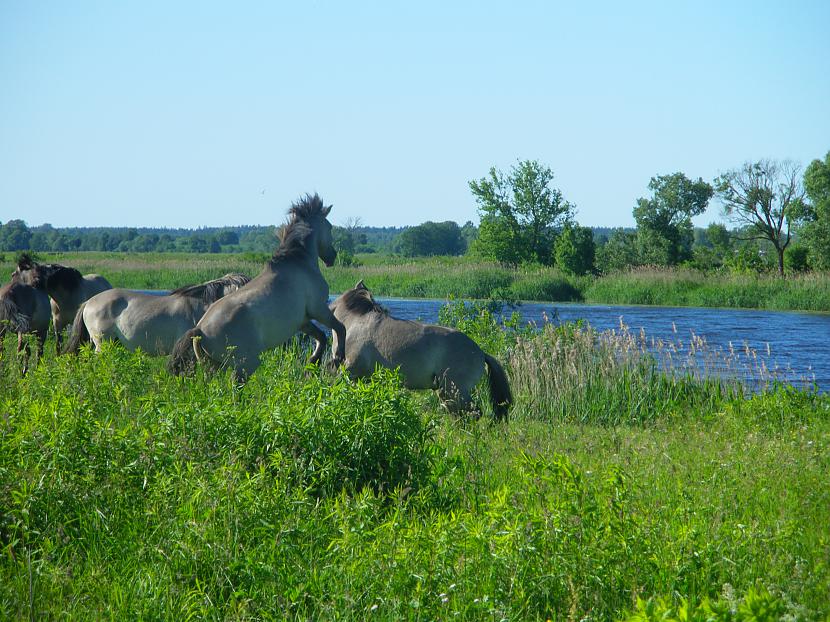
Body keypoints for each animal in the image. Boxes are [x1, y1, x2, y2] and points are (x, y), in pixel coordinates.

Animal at [171, 193, 346, 382]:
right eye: (329, 227)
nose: (332, 257)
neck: (300, 262)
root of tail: (200, 331)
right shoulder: (318, 309)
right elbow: (340, 328)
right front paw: (337, 358)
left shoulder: (303, 321)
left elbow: (321, 337)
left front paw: (313, 362)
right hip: (245, 366)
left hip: (214, 366)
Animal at [330, 282, 512, 420]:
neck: (356, 324)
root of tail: (480, 352)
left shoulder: (350, 371)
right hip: (446, 393)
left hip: (456, 391)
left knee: (473, 414)